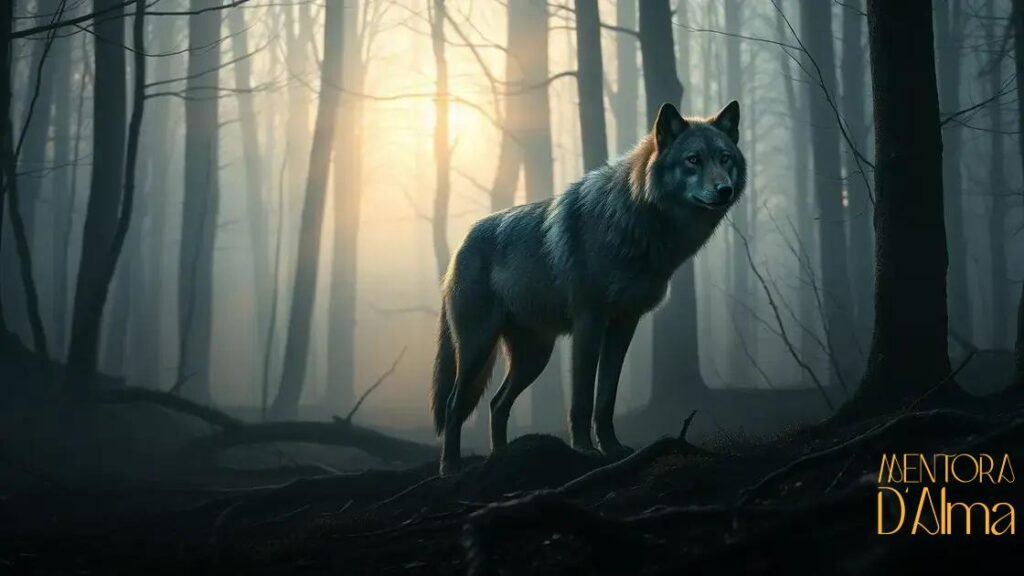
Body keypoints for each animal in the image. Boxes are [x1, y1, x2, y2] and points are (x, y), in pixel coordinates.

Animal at [431, 101, 746, 475]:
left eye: (724, 158)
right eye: (693, 159)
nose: (724, 189)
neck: (635, 222)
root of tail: (460, 247)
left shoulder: (624, 324)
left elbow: (605, 398)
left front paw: (612, 448)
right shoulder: (588, 322)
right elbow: (582, 398)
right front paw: (584, 450)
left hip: (534, 357)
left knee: (496, 404)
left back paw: (501, 460)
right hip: (478, 349)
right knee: (453, 405)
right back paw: (450, 467)